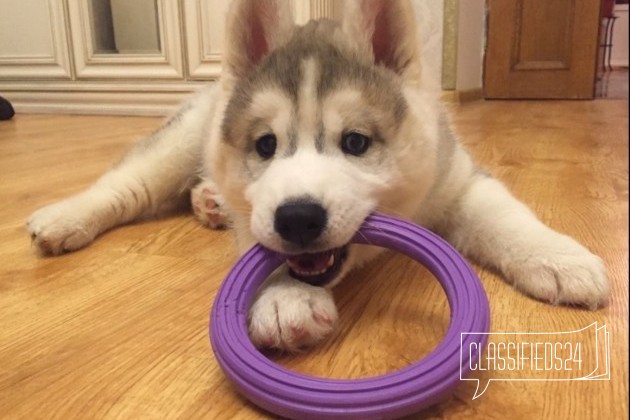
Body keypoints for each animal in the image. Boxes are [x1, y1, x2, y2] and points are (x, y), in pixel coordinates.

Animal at [27, 0, 608, 350]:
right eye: (265, 145)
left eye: (356, 143)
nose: (299, 219)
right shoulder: (253, 210)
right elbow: (255, 240)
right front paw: (286, 296)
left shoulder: (457, 179)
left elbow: (503, 214)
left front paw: (559, 257)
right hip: (185, 135)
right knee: (129, 184)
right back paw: (64, 218)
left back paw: (206, 199)